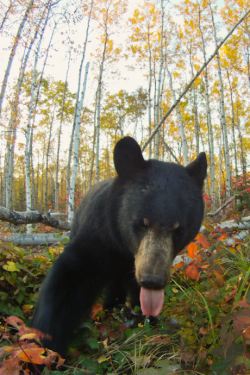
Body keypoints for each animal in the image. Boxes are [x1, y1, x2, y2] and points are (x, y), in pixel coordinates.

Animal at [31, 137, 207, 358]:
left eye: (178, 229)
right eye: (141, 223)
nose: (152, 280)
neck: (125, 248)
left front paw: (149, 318)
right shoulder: (99, 234)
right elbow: (69, 279)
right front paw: (46, 346)